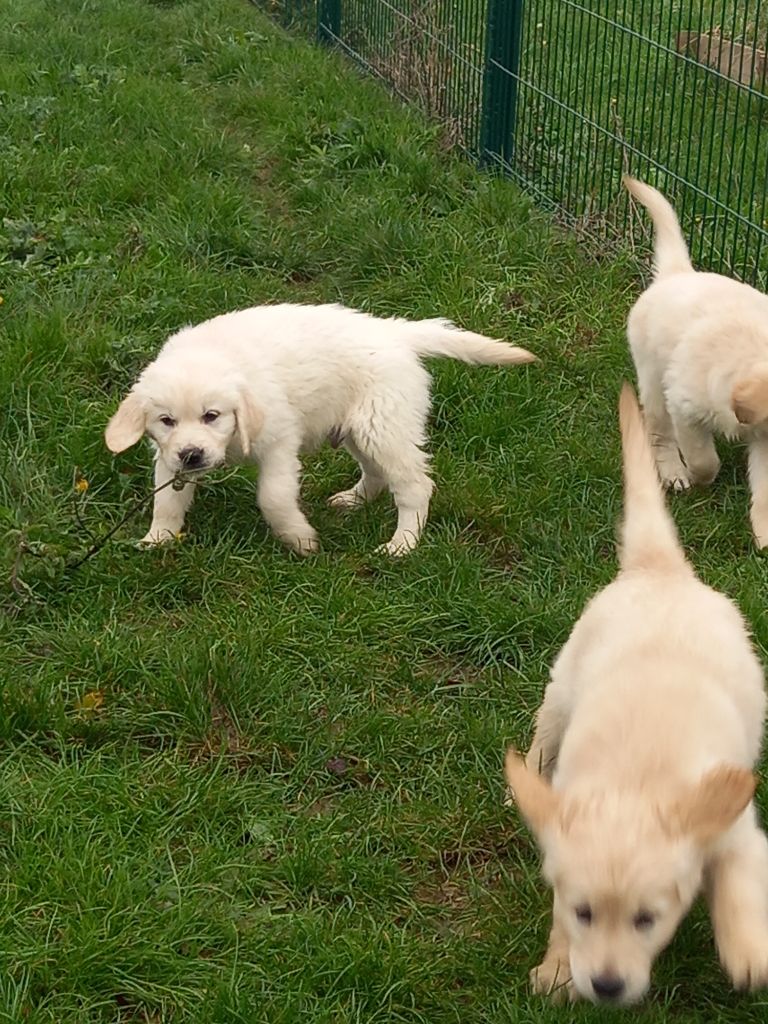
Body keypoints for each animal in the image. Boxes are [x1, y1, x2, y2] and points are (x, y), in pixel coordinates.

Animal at [103, 301, 536, 552]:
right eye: (166, 420)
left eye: (213, 415)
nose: (192, 455)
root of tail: (393, 330)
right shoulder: (167, 457)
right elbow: (167, 499)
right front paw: (157, 540)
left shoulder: (279, 443)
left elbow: (273, 498)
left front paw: (301, 540)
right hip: (358, 425)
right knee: (376, 473)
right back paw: (354, 500)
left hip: (384, 424)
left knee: (415, 486)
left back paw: (401, 545)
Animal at [505, 387, 768, 1003]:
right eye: (584, 912)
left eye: (647, 919)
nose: (606, 986)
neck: (636, 781)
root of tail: (660, 569)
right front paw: (559, 967)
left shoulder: (733, 825)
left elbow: (740, 883)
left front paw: (749, 951)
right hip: (565, 681)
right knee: (544, 734)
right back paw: (525, 782)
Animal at [626, 172, 768, 548]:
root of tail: (679, 272)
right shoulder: (685, 407)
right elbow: (704, 459)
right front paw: (697, 476)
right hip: (653, 379)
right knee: (660, 431)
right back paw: (673, 473)